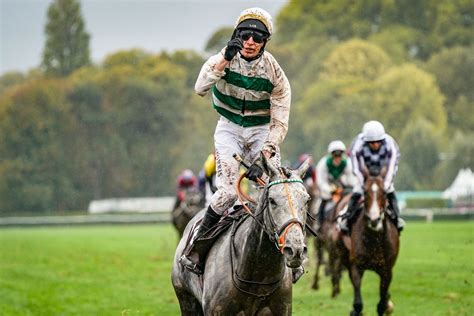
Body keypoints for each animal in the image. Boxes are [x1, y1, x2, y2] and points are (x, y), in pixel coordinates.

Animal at [344, 174, 400, 314]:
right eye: (365, 192)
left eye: (384, 193)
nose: (374, 219)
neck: (373, 241)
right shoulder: (356, 267)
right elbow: (358, 303)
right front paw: (354, 311)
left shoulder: (386, 271)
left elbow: (381, 305)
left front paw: (386, 304)